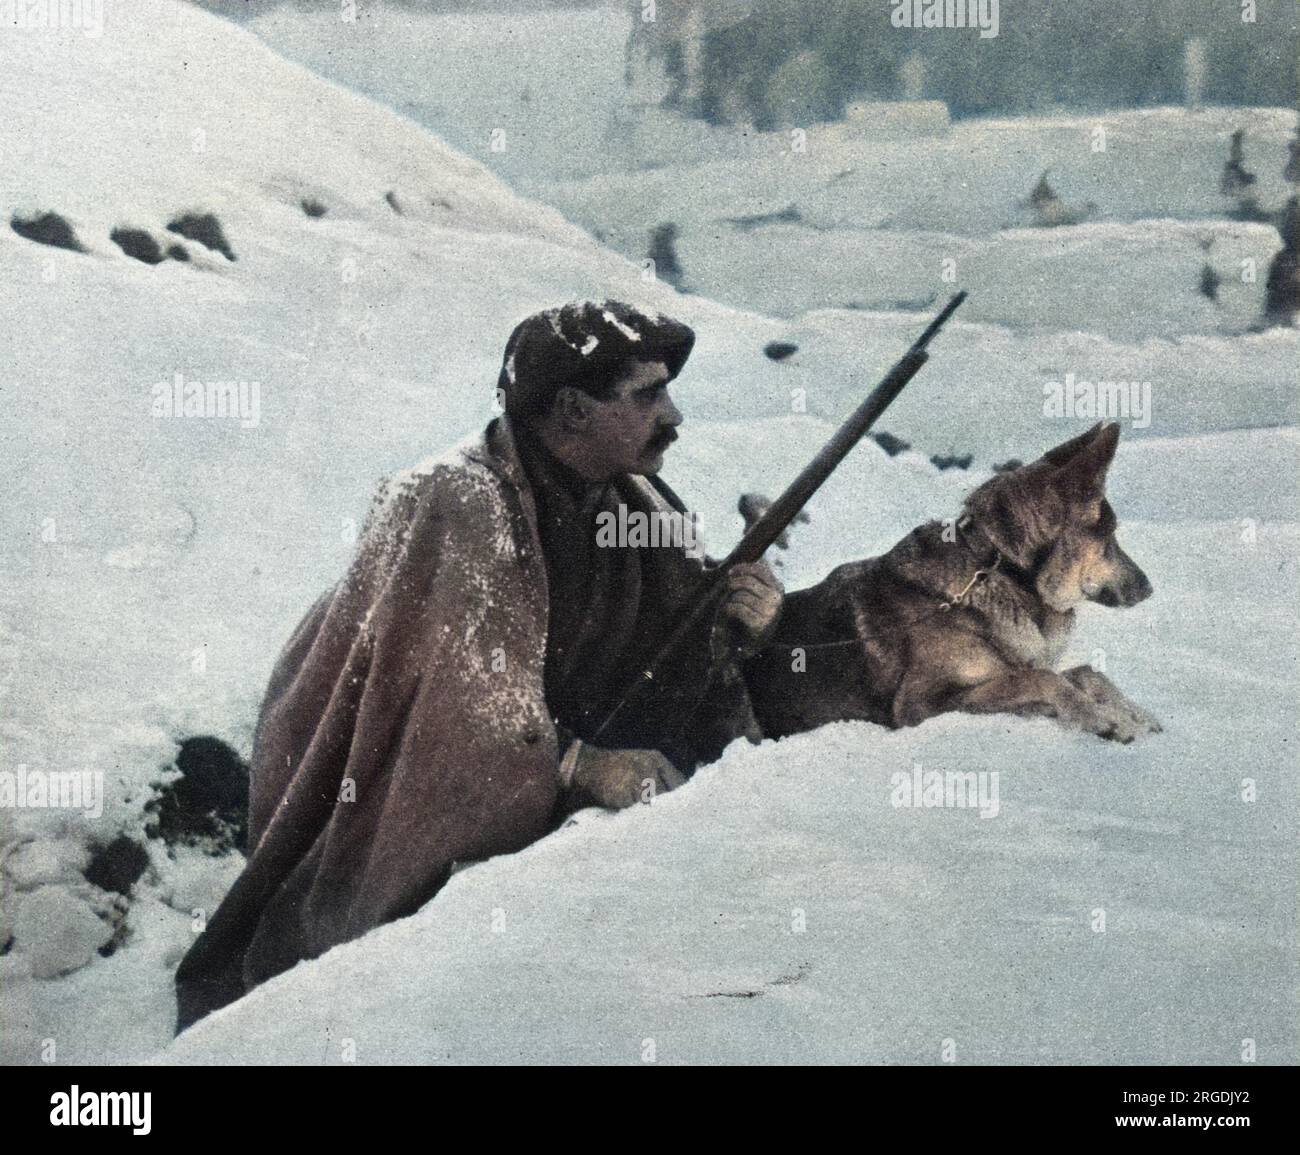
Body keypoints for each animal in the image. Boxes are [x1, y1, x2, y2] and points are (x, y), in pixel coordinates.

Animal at [748, 421, 1164, 738]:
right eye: (1110, 536)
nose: (1148, 588)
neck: (1003, 570)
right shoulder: (920, 705)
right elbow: (1044, 678)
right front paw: (1104, 720)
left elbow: (1085, 672)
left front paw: (1135, 715)